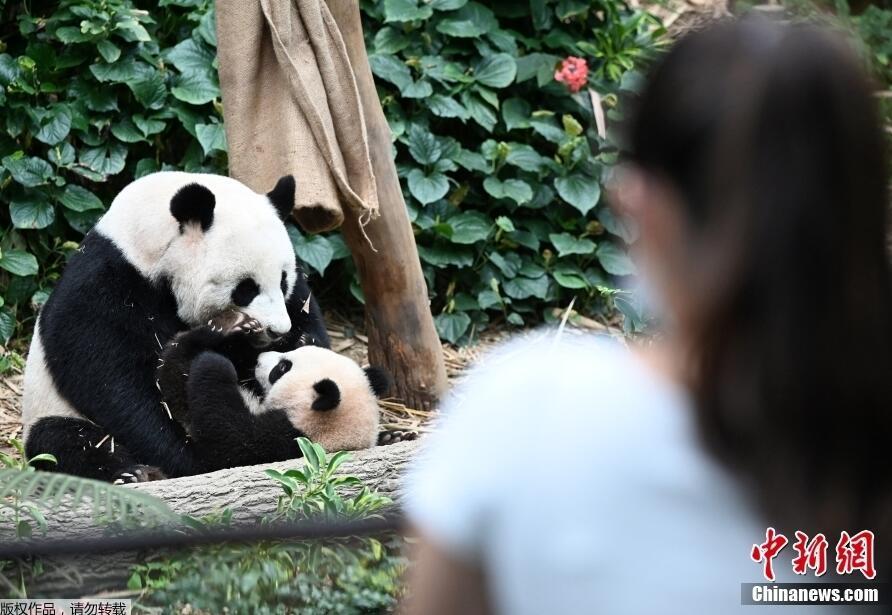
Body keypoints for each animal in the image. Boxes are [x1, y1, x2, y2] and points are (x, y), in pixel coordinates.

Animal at [22, 171, 330, 484]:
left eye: (282, 280)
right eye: (246, 288)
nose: (276, 330)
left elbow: (308, 326)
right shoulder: (106, 287)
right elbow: (112, 378)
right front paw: (187, 456)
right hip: (51, 410)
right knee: (64, 439)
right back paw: (132, 472)